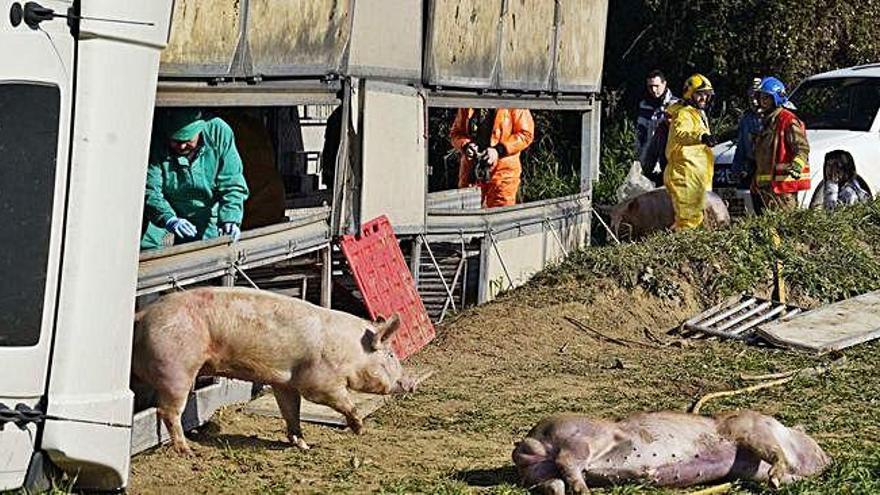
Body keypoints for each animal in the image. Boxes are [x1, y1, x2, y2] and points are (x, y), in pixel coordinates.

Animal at [132, 288, 418, 456]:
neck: (351, 350)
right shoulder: (319, 382)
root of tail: (143, 314)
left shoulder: (285, 382)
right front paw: (359, 429)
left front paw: (302, 444)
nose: (411, 382)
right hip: (176, 369)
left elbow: (291, 411)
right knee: (167, 411)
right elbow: (342, 401)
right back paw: (188, 451)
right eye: (391, 355)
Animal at [512, 408, 828, 494]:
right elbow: (773, 452)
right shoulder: (748, 428)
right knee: (568, 460)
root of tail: (532, 438)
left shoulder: (751, 470)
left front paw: (779, 482)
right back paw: (584, 492)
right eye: (817, 444)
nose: (831, 459)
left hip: (537, 470)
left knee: (551, 480)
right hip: (586, 438)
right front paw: (777, 478)